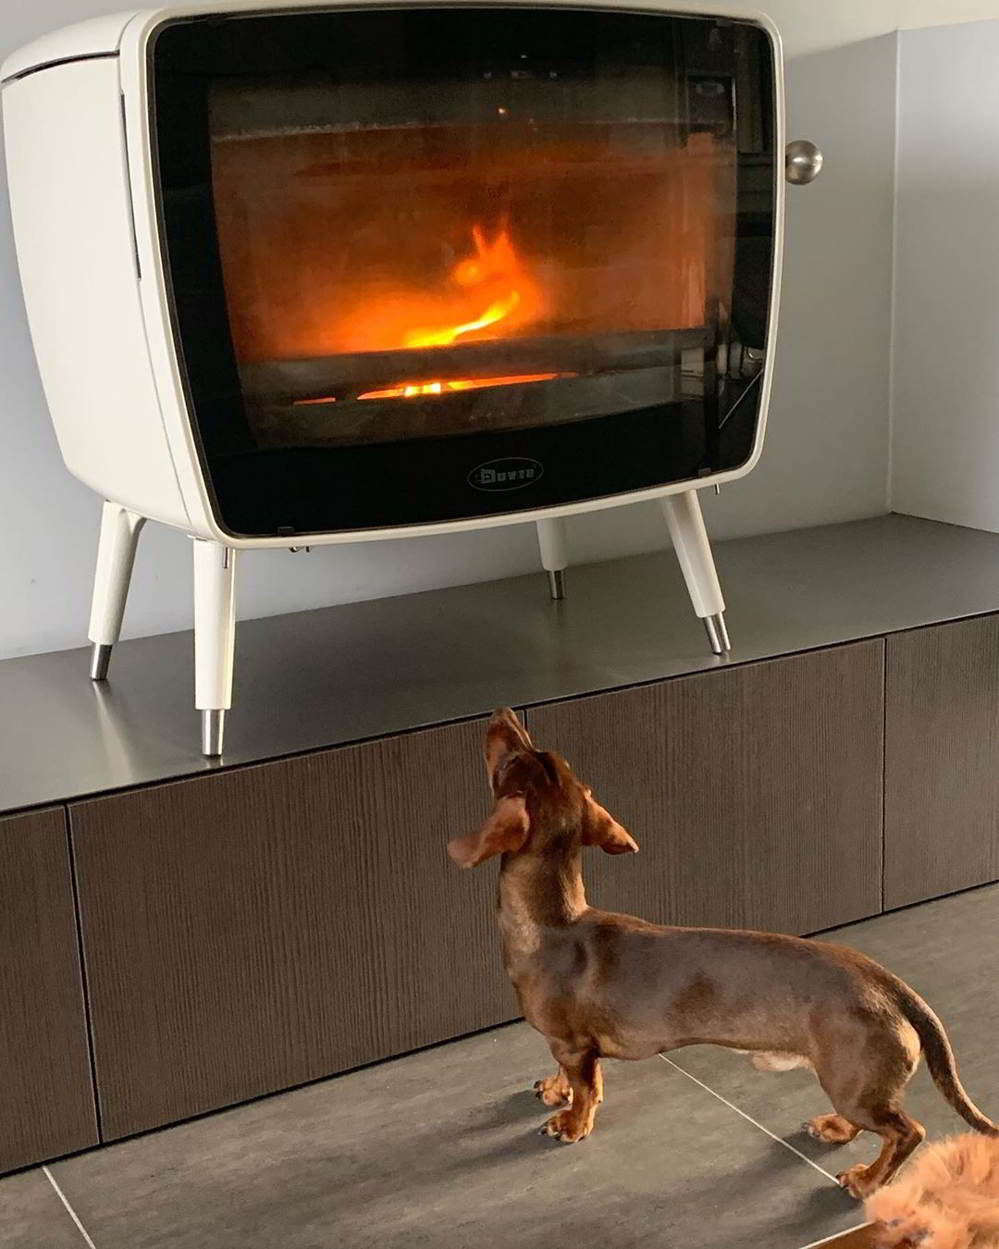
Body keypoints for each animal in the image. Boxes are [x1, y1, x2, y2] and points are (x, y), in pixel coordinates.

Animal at [447, 708, 997, 1199]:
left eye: (512, 758)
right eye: (536, 752)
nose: (503, 712)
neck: (554, 924)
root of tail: (891, 987)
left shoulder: (574, 1045)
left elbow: (587, 1087)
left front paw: (572, 1122)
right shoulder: (564, 1046)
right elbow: (565, 1075)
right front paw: (554, 1090)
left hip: (854, 1083)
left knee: (907, 1132)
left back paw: (866, 1181)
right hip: (855, 1082)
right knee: (877, 1121)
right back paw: (837, 1130)